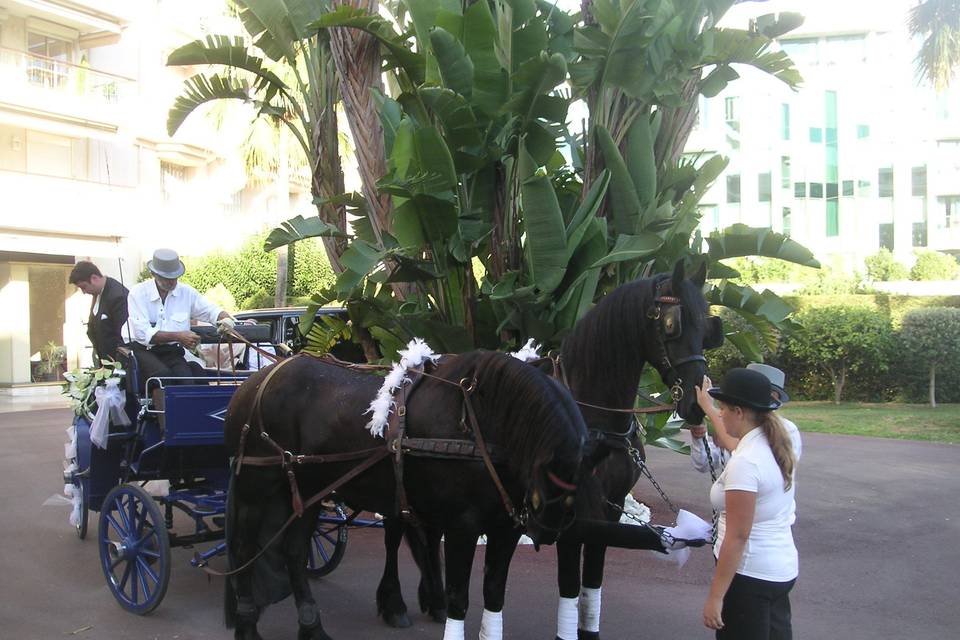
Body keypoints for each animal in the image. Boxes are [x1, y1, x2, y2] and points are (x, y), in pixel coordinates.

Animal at [222, 350, 588, 640]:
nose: (547, 530)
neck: (477, 429)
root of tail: (254, 382)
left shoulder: (504, 529)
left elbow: (494, 594)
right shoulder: (462, 527)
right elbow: (458, 597)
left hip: (306, 490)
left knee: (295, 552)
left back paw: (312, 626)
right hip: (256, 486)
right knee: (243, 548)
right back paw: (246, 623)